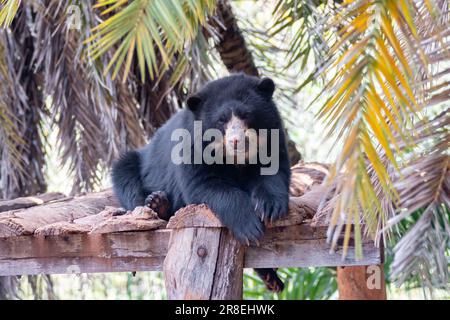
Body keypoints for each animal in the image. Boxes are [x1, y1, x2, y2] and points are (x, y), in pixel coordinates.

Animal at [110, 74, 290, 244]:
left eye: (246, 114)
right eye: (221, 120)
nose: (236, 141)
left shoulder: (272, 137)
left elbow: (272, 170)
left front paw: (269, 207)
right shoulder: (192, 148)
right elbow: (205, 184)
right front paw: (249, 228)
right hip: (137, 164)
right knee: (126, 176)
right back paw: (155, 203)